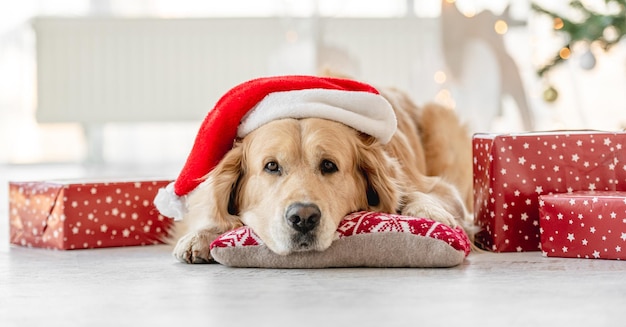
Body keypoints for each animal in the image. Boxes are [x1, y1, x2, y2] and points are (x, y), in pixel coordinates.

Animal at [168, 85, 470, 264]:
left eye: (328, 165)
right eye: (271, 166)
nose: (303, 218)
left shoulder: (440, 188)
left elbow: (420, 194)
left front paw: (427, 212)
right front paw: (202, 234)